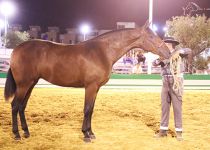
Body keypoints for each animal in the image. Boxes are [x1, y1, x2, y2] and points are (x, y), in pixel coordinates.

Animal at [3, 21, 171, 142]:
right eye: (152, 37)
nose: (168, 53)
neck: (103, 51)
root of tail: (16, 49)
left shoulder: (95, 88)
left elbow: (91, 110)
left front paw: (91, 133)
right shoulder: (90, 86)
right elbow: (87, 109)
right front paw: (85, 135)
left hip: (31, 83)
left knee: (22, 106)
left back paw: (26, 132)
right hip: (23, 85)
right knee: (15, 106)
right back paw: (17, 134)